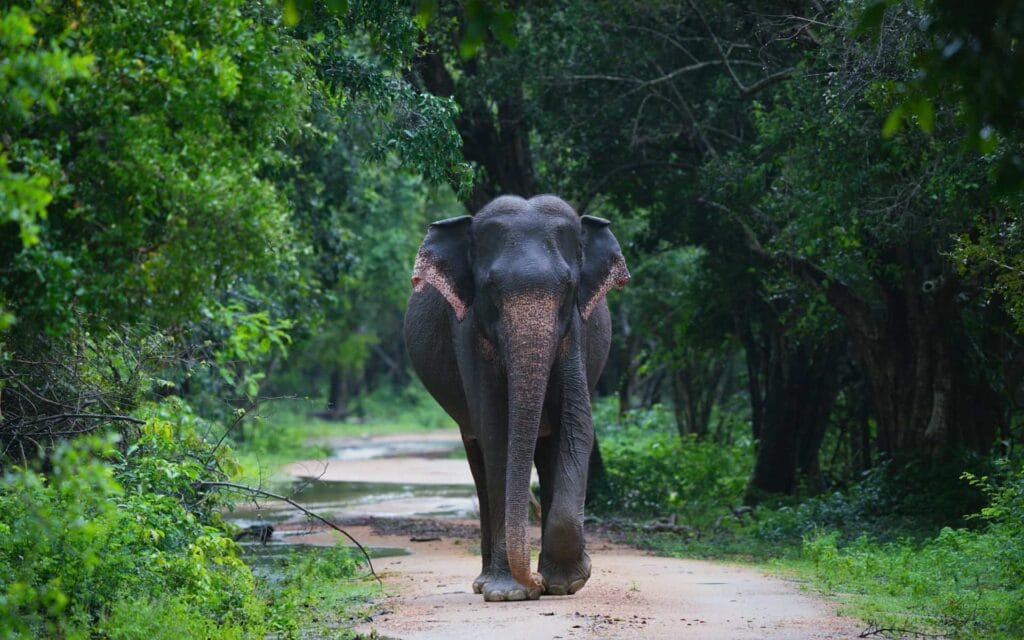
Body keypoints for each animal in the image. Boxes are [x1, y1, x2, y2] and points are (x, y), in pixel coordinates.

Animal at [403, 194, 629, 602]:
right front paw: (509, 593)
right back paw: (483, 583)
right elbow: (497, 431)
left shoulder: (575, 331)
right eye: (491, 285)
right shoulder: (469, 333)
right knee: (479, 458)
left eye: (568, 284)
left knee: (547, 449)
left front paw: (566, 583)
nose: (534, 584)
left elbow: (576, 425)